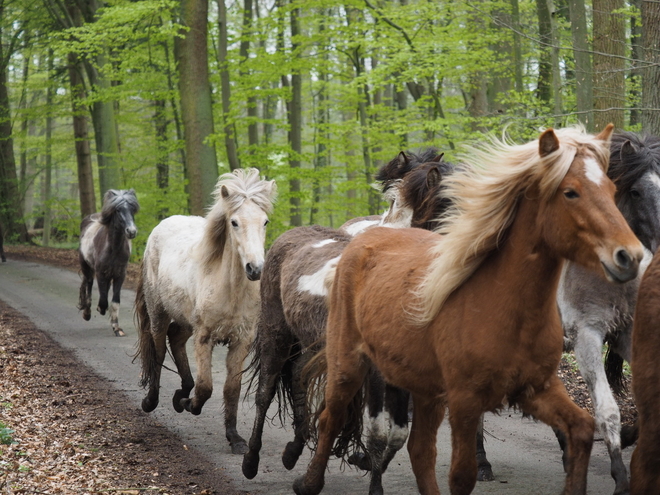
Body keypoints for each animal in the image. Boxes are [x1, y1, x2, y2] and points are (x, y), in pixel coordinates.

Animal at [78, 189, 139, 338]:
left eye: (132, 209)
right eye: (117, 210)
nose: (131, 231)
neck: (113, 248)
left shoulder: (120, 275)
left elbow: (115, 302)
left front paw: (117, 328)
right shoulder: (101, 273)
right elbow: (103, 300)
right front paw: (100, 309)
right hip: (87, 267)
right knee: (88, 285)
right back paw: (87, 313)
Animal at [135, 169, 278, 456]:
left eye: (265, 222)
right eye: (234, 222)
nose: (255, 269)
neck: (230, 290)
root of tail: (161, 226)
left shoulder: (241, 341)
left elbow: (231, 389)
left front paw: (235, 438)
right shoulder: (204, 338)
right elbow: (206, 387)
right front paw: (190, 404)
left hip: (185, 321)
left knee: (176, 340)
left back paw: (181, 393)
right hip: (158, 314)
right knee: (158, 350)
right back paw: (152, 400)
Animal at [296, 125, 644, 495]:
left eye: (612, 189)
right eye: (570, 193)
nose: (629, 256)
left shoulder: (534, 383)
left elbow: (577, 426)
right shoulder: (462, 393)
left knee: (416, 444)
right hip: (351, 360)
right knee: (339, 416)